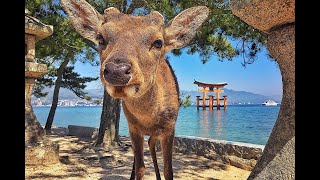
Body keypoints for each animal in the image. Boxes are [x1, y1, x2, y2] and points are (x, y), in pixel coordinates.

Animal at [61, 0, 209, 179]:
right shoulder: (133, 128)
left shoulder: (169, 127)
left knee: (151, 143)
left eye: (158, 42)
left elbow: (169, 170)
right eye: (100, 37)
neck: (148, 117)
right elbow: (140, 167)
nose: (117, 70)